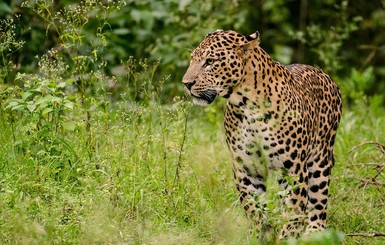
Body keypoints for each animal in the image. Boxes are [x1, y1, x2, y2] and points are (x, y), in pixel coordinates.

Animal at [182, 29, 340, 238]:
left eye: (210, 62)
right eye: (193, 59)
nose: (186, 83)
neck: (246, 105)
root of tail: (325, 75)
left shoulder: (293, 170)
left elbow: (293, 212)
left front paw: (286, 238)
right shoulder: (247, 169)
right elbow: (254, 209)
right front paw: (259, 235)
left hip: (320, 160)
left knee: (318, 203)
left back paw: (314, 233)